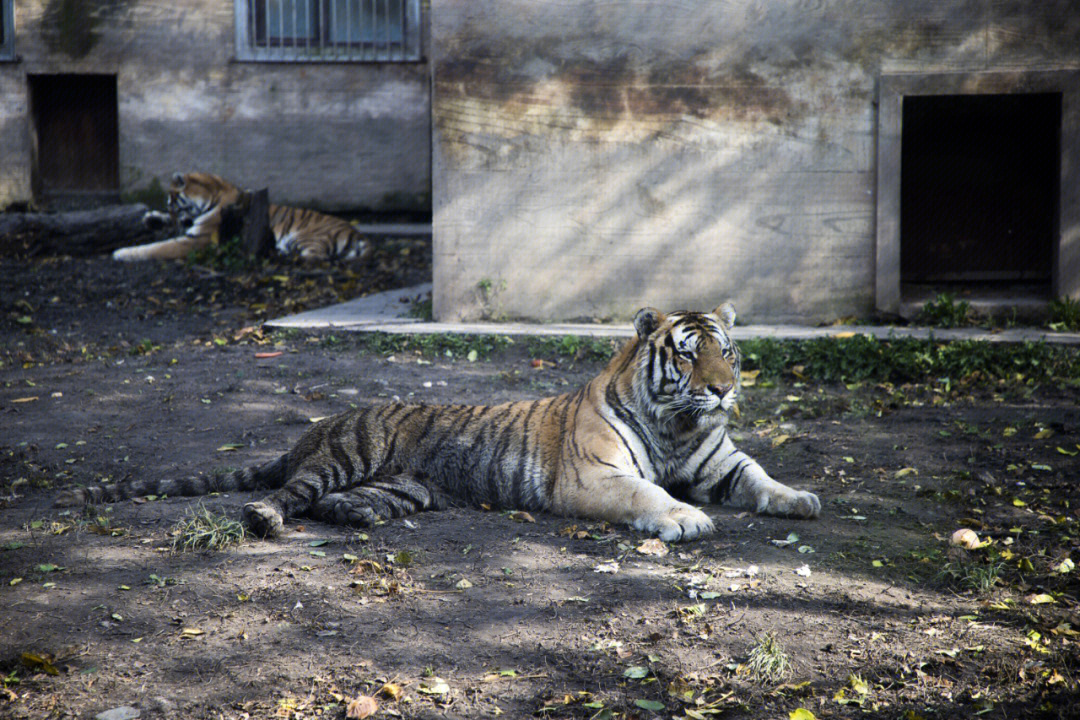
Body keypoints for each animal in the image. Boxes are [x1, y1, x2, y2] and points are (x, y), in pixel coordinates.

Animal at [56, 302, 816, 544]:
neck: (676, 426)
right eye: (688, 354)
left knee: (333, 504)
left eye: (728, 351)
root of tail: (314, 429)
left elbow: (761, 476)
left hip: (403, 485)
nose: (723, 390)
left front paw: (800, 499)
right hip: (344, 456)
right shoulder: (596, 477)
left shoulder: (722, 462)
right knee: (286, 494)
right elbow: (648, 493)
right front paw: (685, 519)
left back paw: (355, 517)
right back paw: (268, 518)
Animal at [110, 171, 371, 262]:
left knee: (315, 257)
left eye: (174, 205)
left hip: (306, 237)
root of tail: (358, 234)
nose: (175, 225)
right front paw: (151, 219)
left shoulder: (198, 240)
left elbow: (157, 248)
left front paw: (121, 253)